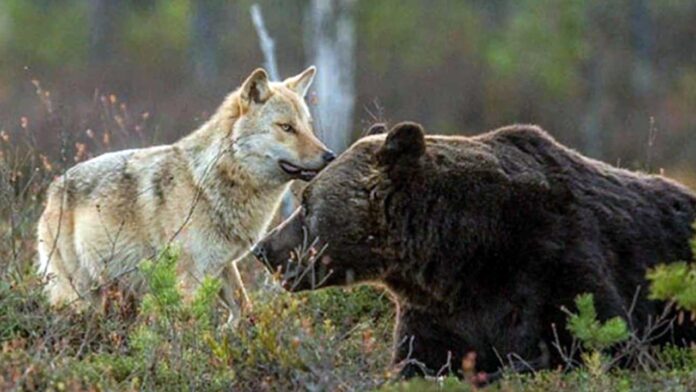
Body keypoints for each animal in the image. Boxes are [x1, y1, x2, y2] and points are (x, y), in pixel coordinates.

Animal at [36, 66, 336, 320]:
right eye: (287, 127)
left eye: (308, 126)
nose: (330, 156)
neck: (207, 185)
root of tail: (52, 189)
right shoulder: (188, 278)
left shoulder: (223, 265)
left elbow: (244, 308)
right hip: (77, 295)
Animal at [251, 121, 696, 378]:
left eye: (307, 203)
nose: (263, 248)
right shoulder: (438, 313)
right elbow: (418, 363)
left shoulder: (555, 258)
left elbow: (604, 344)